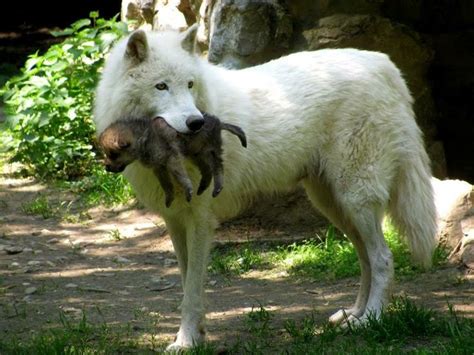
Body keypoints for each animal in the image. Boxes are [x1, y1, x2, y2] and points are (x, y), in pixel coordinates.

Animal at [93, 25, 436, 354]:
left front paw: (186, 341)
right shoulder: (175, 220)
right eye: (161, 86)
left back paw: (371, 319)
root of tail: (384, 64)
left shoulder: (201, 221)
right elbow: (187, 280)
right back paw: (352, 315)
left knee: (383, 259)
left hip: (356, 200)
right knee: (365, 259)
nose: (196, 123)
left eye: (190, 84)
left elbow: (192, 289)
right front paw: (196, 334)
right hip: (334, 205)